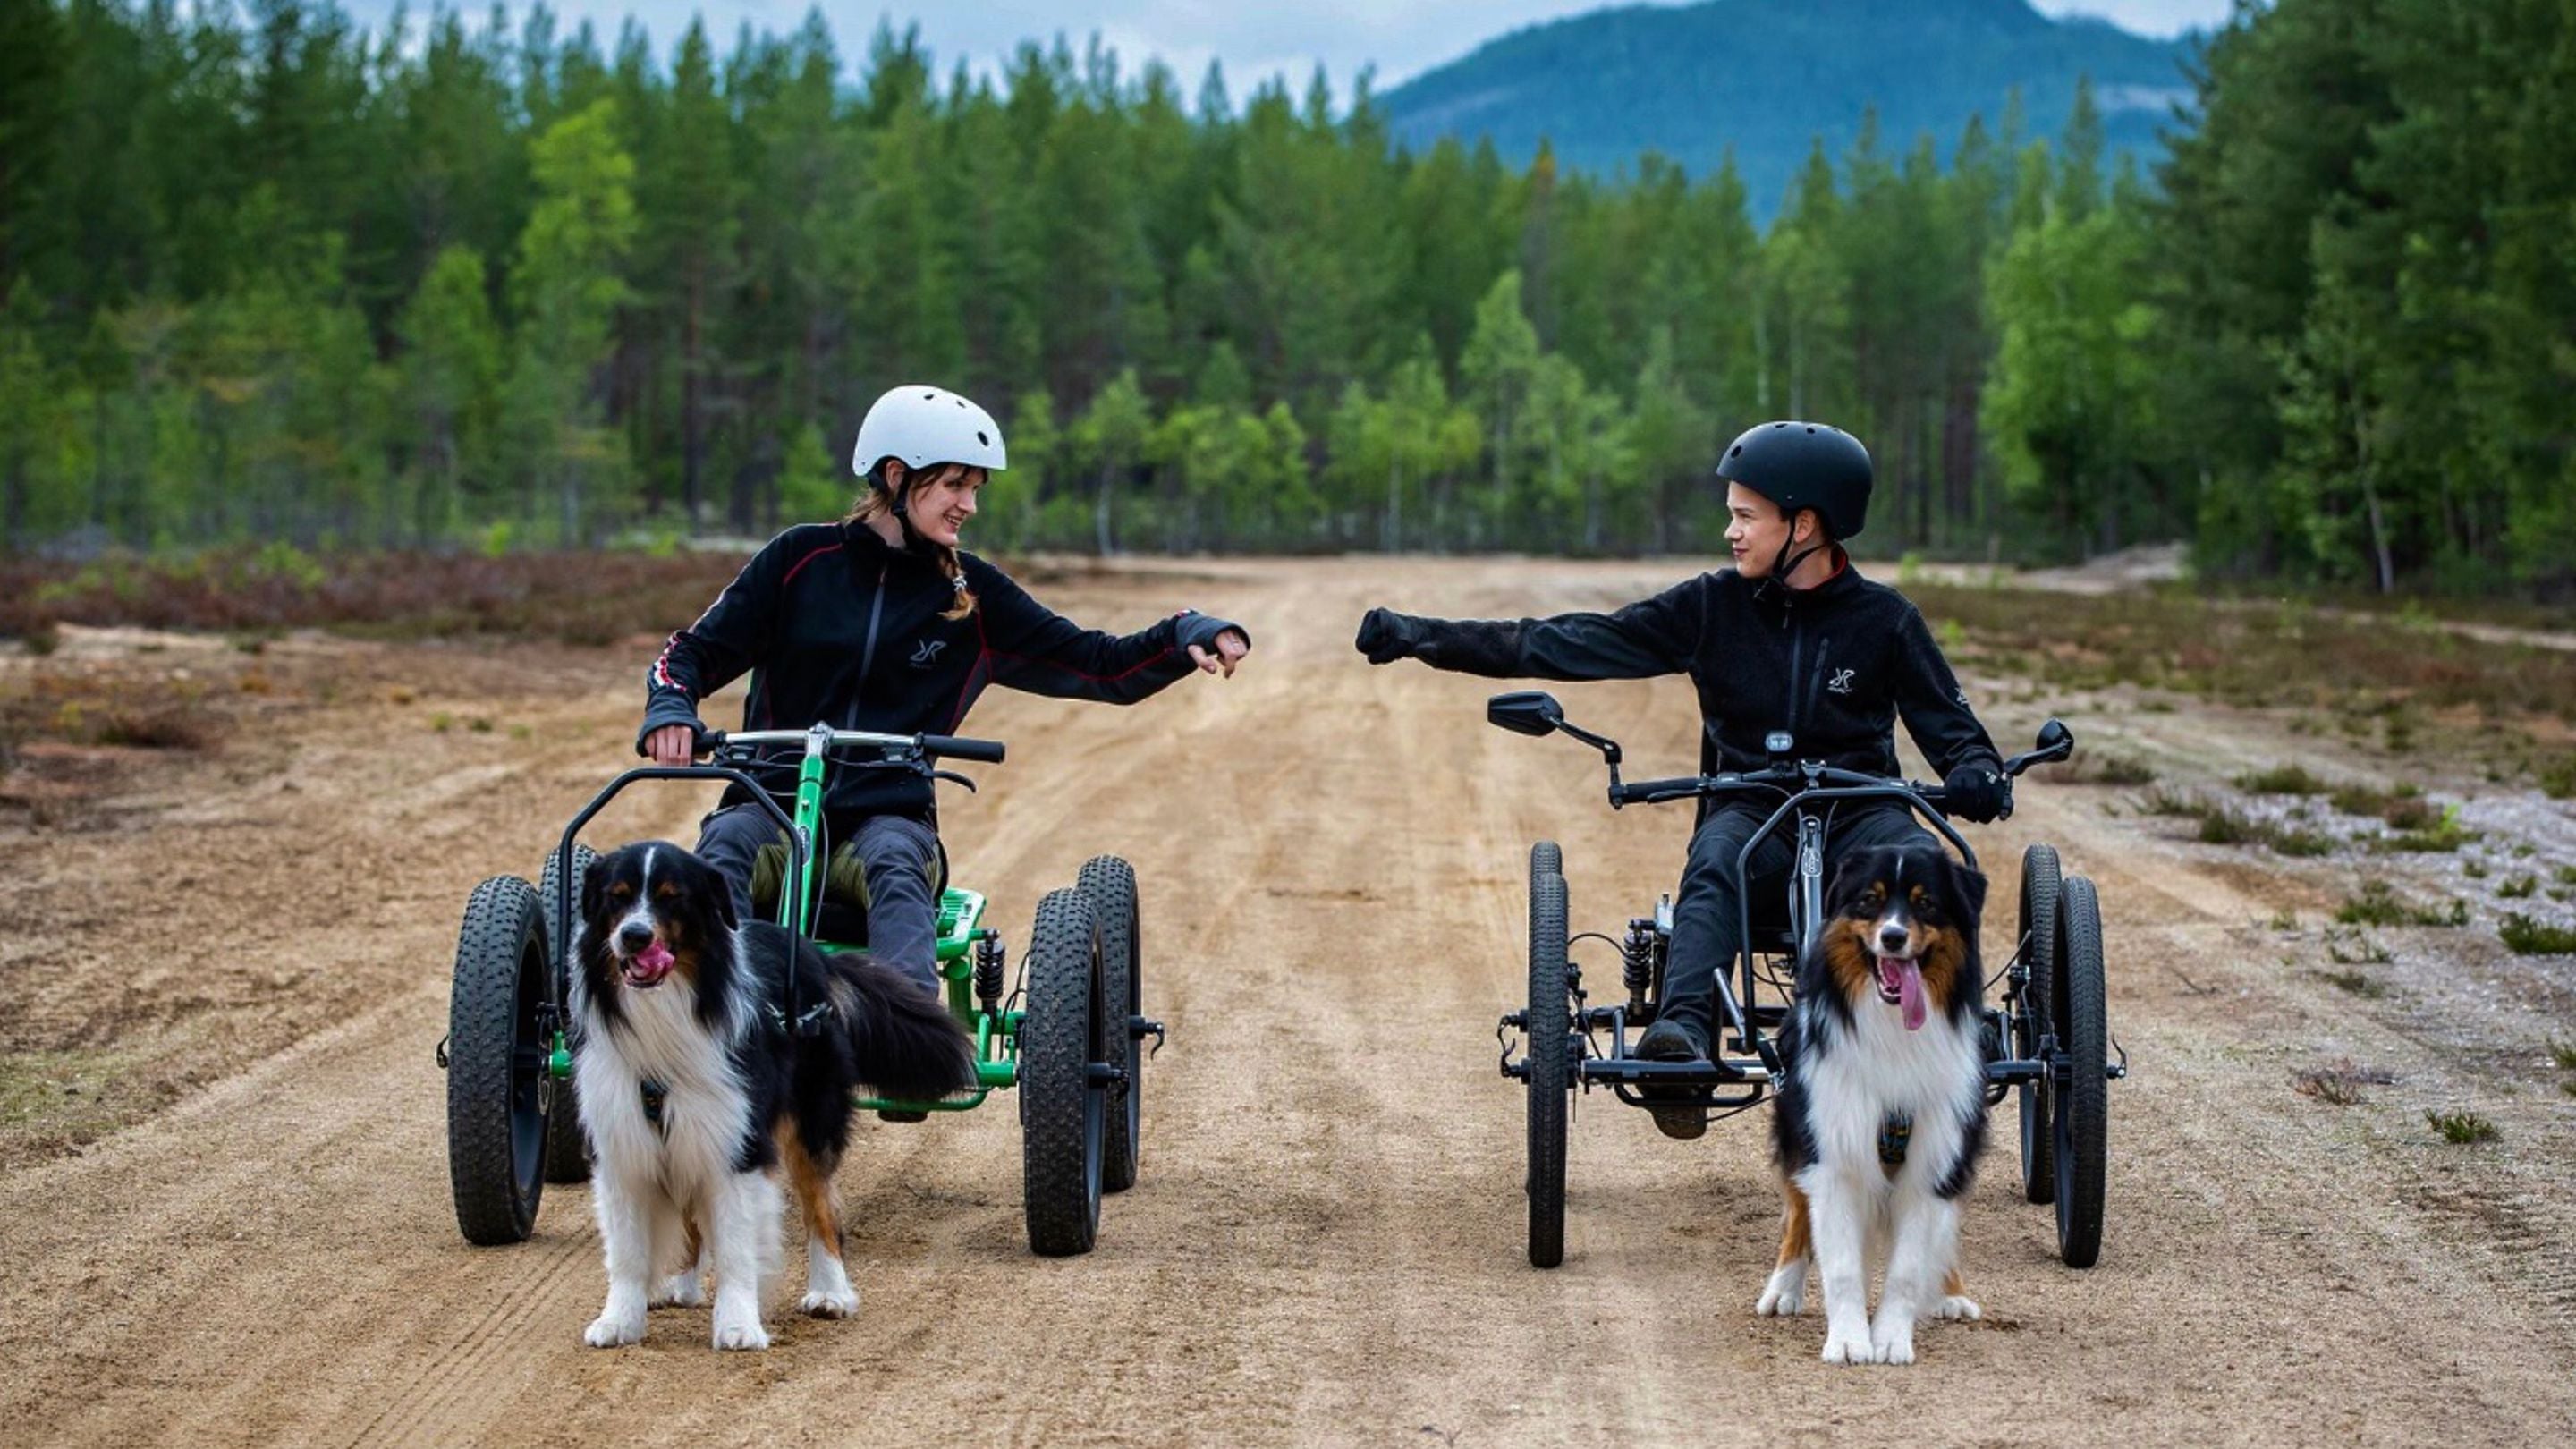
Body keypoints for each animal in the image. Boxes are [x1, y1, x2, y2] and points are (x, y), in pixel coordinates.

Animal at [572, 835, 973, 1340]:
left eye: (671, 896)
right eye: (617, 896)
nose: (634, 936)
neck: (667, 1010)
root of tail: (814, 952)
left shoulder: (738, 1142)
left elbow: (737, 1244)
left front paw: (739, 1325)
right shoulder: (623, 1141)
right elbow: (627, 1251)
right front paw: (619, 1321)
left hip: (809, 1124)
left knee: (822, 1210)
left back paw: (830, 1294)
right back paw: (682, 1285)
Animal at [1751, 840, 1988, 1360]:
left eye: (1926, 903)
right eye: (1869, 900)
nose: (1894, 937)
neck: (1891, 1029)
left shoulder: (1934, 1158)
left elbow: (1906, 1270)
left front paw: (1891, 1339)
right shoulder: (1833, 1149)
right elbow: (1840, 1266)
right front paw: (1847, 1341)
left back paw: (1952, 1292)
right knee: (1798, 1215)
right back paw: (1781, 1289)